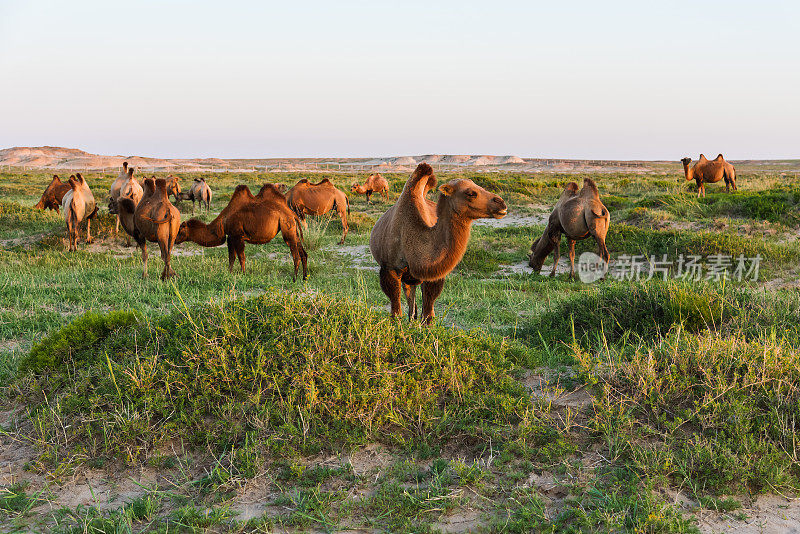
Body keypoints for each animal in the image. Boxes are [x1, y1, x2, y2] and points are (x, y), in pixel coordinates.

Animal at [368, 161, 506, 324]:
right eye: (470, 193)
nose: (501, 203)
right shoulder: (389, 268)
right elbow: (396, 312)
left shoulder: (433, 276)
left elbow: (428, 315)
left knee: (411, 293)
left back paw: (412, 318)